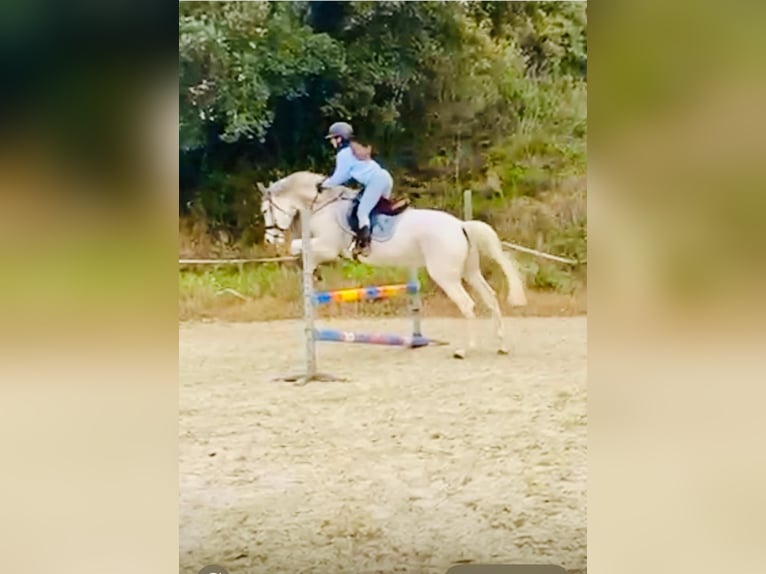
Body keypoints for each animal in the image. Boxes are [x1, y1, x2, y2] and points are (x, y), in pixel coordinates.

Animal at [258, 170, 527, 358]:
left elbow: (298, 248)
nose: (269, 240)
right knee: (490, 298)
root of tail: (461, 225)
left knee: (467, 304)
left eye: (264, 211)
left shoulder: (328, 246)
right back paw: (501, 345)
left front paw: (307, 267)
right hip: (469, 272)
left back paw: (464, 350)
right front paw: (311, 272)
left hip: (446, 276)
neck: (323, 205)